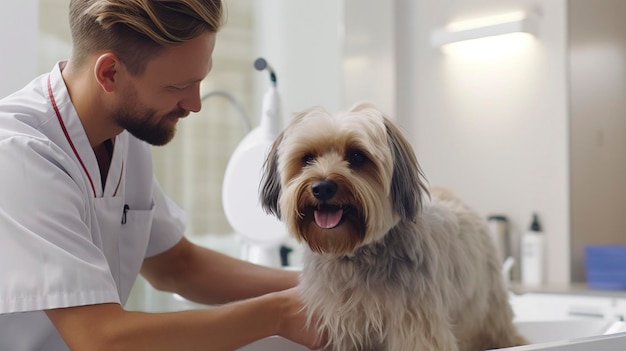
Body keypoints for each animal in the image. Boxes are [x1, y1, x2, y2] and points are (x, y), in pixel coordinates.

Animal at [258, 102, 528, 351]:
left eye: (357, 156)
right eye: (308, 158)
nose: (322, 187)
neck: (356, 255)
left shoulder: (416, 324)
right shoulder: (345, 328)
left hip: (486, 302)